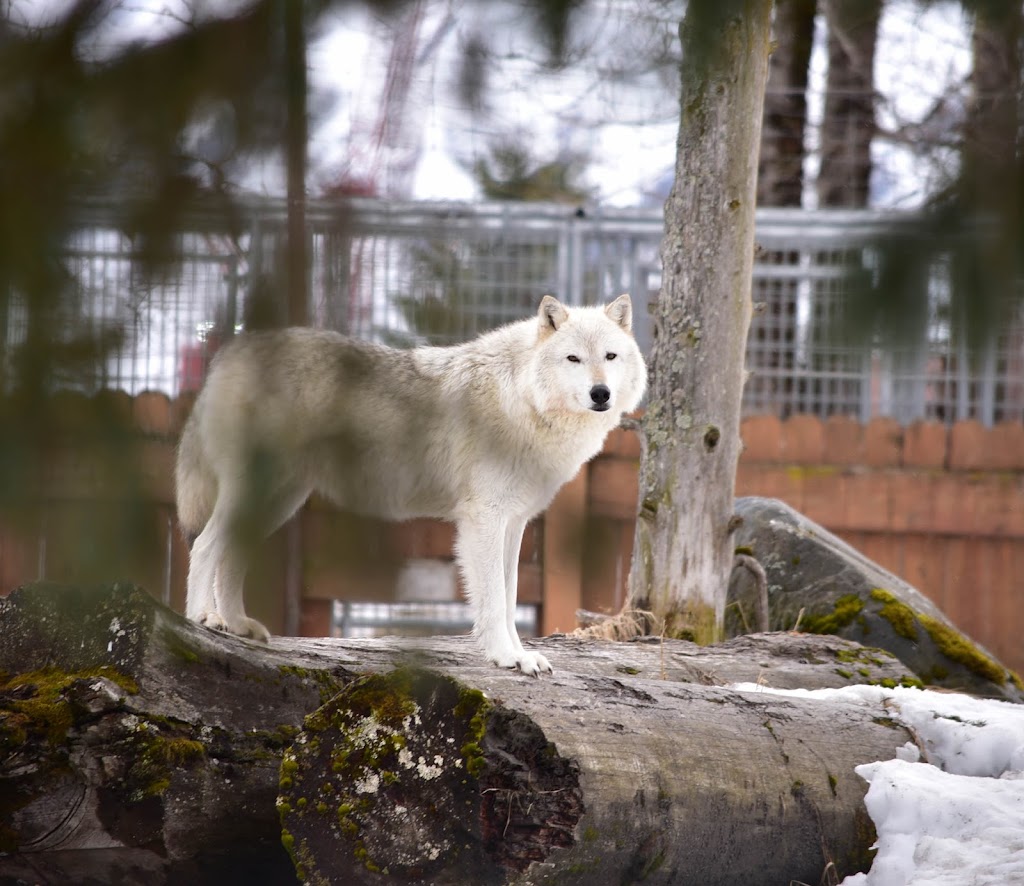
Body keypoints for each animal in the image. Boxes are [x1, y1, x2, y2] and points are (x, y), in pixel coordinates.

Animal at [173, 292, 643, 676]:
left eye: (610, 356)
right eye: (573, 359)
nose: (600, 394)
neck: (522, 400)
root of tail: (231, 351)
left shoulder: (514, 524)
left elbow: (509, 600)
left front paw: (520, 654)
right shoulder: (484, 520)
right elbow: (493, 601)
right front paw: (506, 657)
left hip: (278, 501)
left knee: (230, 557)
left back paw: (239, 627)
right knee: (205, 545)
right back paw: (202, 623)